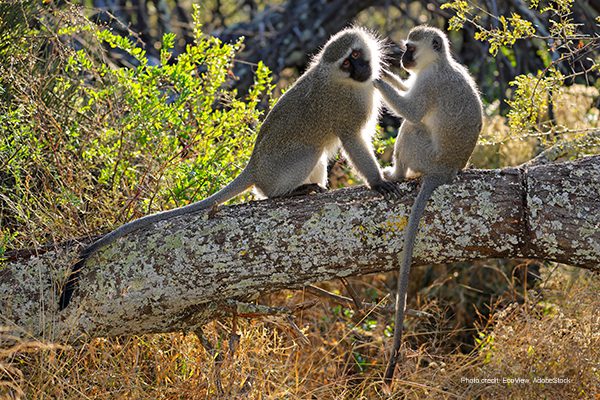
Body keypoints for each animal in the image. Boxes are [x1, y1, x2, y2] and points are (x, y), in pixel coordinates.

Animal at [58, 26, 400, 310]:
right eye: (347, 63)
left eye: (355, 56)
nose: (361, 70)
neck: (344, 82)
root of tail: (254, 168)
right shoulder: (347, 109)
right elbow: (352, 140)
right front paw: (377, 181)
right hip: (281, 166)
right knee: (303, 159)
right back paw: (287, 193)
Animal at [376, 25, 482, 382]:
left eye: (411, 48)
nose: (403, 60)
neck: (437, 63)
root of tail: (445, 170)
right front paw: (383, 71)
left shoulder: (429, 83)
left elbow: (411, 111)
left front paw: (376, 80)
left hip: (425, 154)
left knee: (411, 127)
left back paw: (396, 173)